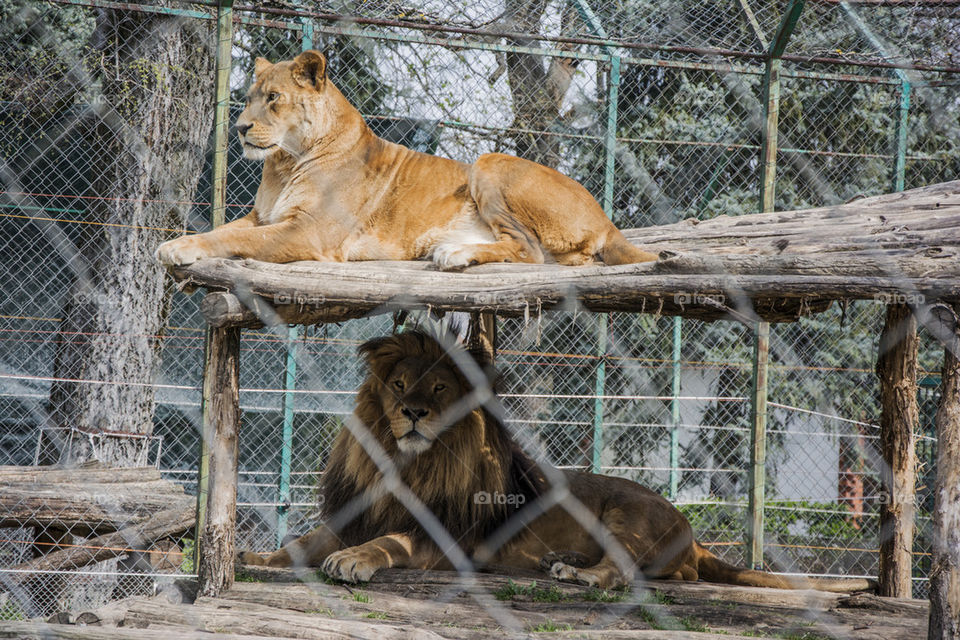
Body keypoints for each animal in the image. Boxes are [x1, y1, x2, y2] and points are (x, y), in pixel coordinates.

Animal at [156, 50, 660, 270]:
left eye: (274, 98)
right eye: (248, 98)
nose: (241, 128)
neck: (283, 164)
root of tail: (606, 219)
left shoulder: (309, 232)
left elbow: (234, 240)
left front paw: (179, 249)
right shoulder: (264, 216)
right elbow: (225, 230)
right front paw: (178, 242)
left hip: (489, 162)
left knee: (530, 251)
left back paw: (455, 254)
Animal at [244, 330, 872, 596]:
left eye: (440, 388)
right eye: (398, 384)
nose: (413, 413)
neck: (409, 466)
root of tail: (692, 533)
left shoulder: (445, 538)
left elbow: (389, 542)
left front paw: (355, 560)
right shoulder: (355, 512)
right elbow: (302, 542)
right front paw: (254, 555)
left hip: (625, 512)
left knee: (624, 572)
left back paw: (576, 572)